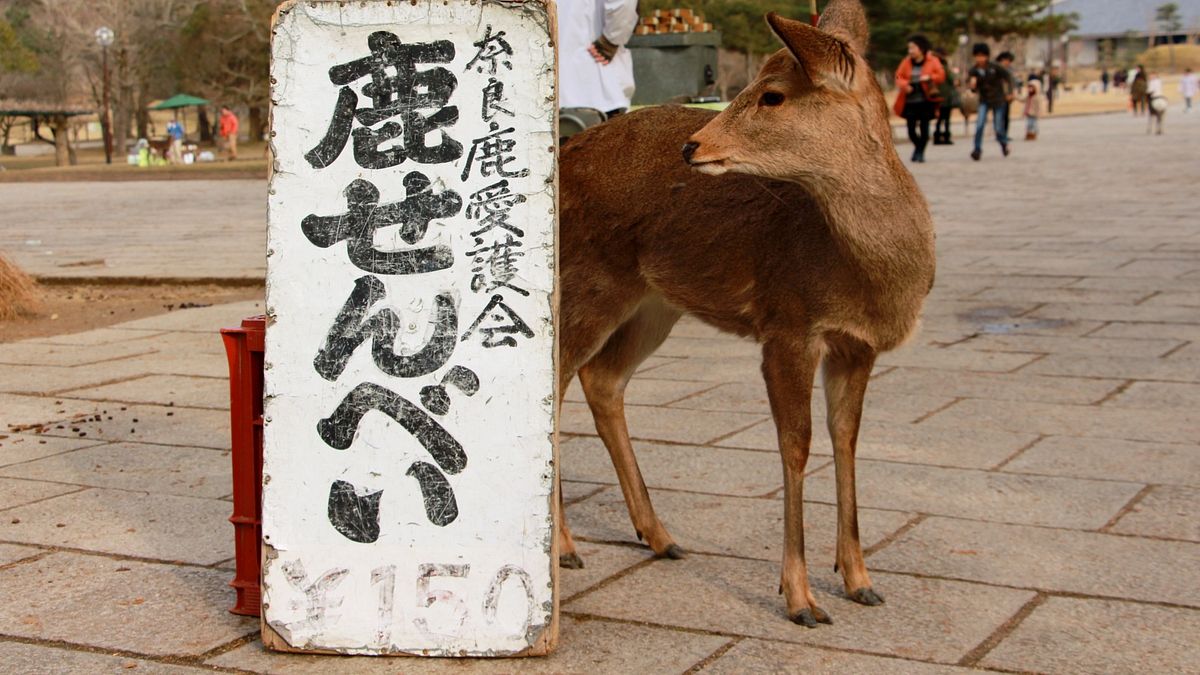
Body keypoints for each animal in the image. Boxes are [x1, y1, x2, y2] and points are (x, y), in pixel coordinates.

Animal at [555, 0, 936, 627]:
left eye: (773, 95)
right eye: (753, 83)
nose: (692, 145)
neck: (869, 278)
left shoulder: (857, 345)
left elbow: (847, 438)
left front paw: (860, 580)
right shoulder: (787, 323)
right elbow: (796, 444)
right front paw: (801, 599)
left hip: (654, 302)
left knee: (602, 378)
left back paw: (659, 536)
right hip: (588, 281)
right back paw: (565, 546)